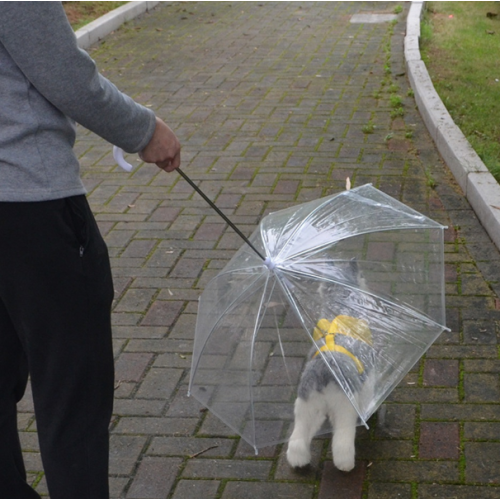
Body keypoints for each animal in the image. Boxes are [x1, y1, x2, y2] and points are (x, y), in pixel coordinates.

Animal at [286, 260, 376, 470]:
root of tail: (322, 373)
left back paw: (299, 462)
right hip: (345, 410)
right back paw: (346, 466)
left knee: (297, 441)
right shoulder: (369, 379)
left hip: (306, 409)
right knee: (342, 444)